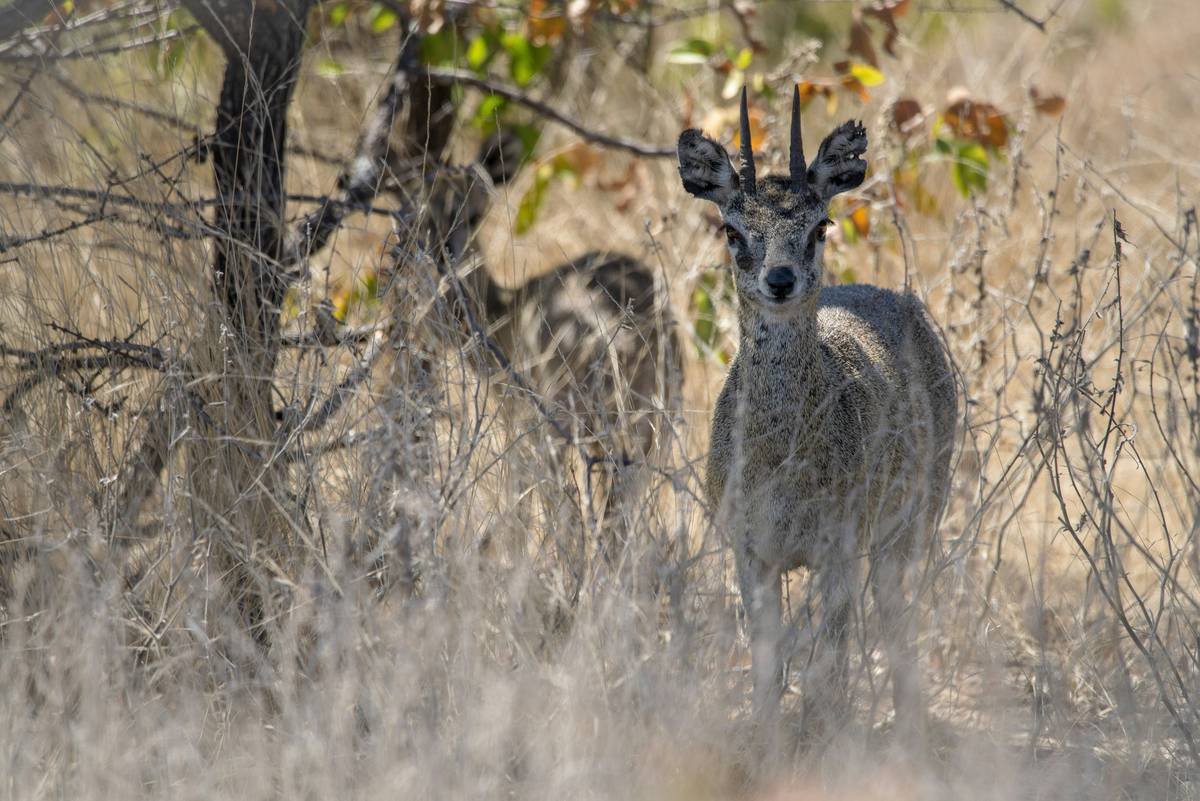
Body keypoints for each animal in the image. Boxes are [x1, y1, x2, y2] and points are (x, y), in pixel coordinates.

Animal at [676, 88, 957, 741]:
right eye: (732, 229)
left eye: (820, 224)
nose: (779, 279)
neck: (782, 463)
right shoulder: (751, 552)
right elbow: (768, 665)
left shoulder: (838, 552)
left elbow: (828, 667)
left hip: (907, 529)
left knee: (895, 623)